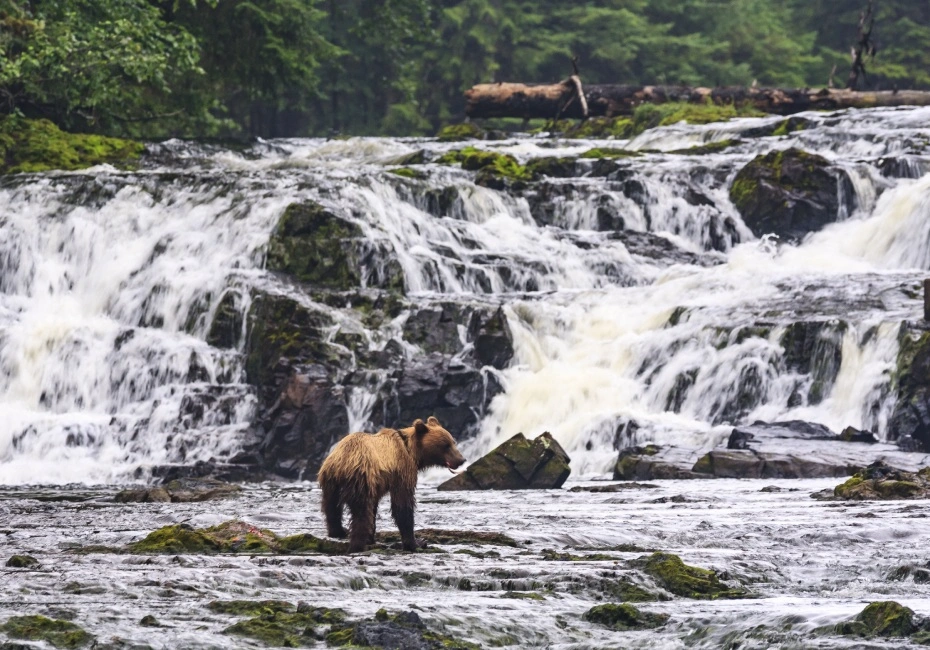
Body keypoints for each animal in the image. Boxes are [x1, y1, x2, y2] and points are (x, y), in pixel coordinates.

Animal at [317, 416, 466, 553]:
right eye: (445, 445)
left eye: (453, 442)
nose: (462, 459)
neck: (412, 451)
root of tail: (342, 462)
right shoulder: (402, 471)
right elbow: (403, 505)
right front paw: (416, 542)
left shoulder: (377, 484)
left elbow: (375, 507)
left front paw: (371, 537)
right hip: (360, 477)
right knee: (361, 511)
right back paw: (357, 544)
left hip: (331, 482)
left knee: (331, 506)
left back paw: (338, 531)